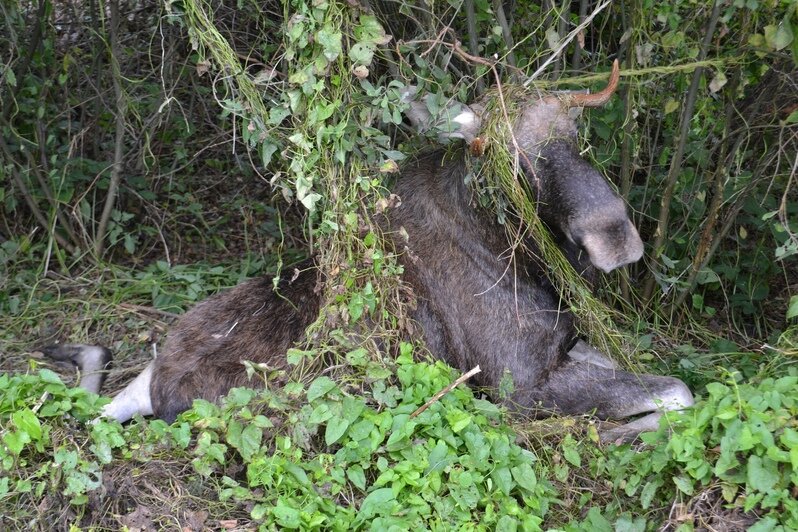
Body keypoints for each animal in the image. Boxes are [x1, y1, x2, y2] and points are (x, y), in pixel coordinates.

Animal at [43, 60, 692, 444]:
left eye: (578, 136)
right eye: (507, 160)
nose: (614, 237)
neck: (524, 260)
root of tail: (164, 381)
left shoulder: (565, 345)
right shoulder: (518, 386)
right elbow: (679, 392)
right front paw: (626, 430)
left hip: (152, 376)